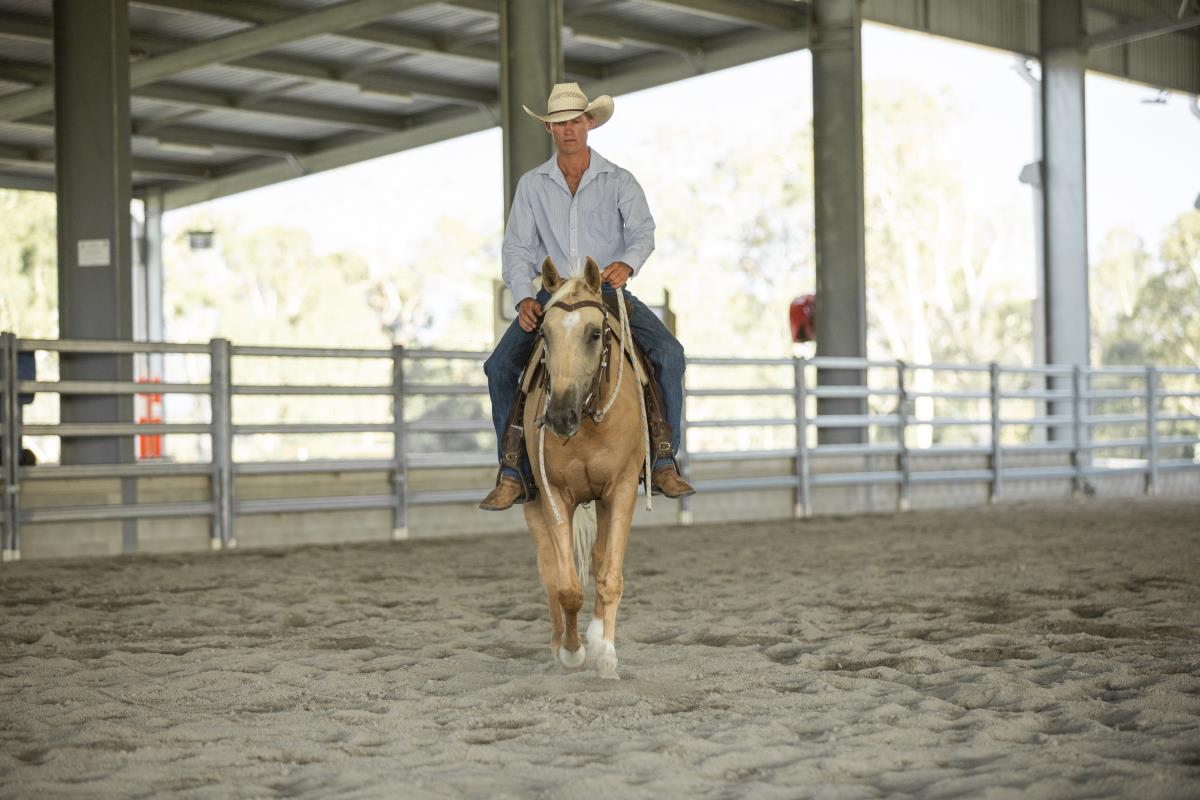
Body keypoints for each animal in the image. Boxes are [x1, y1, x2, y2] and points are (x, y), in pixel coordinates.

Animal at [522, 255, 651, 680]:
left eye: (595, 333)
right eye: (543, 334)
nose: (560, 417)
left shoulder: (622, 490)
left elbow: (609, 575)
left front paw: (606, 654)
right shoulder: (554, 496)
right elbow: (566, 586)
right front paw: (572, 651)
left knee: (597, 558)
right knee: (549, 570)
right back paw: (559, 643)